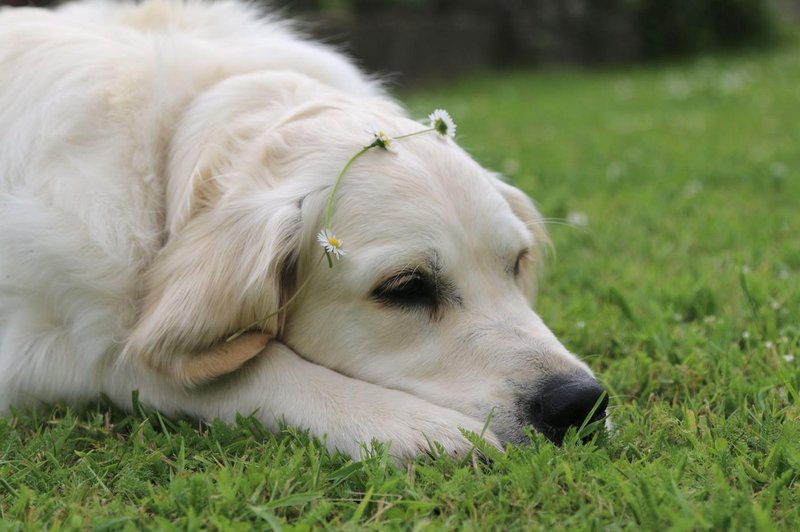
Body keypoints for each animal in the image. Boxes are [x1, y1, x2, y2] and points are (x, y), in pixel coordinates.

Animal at [0, 0, 608, 460]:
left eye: (516, 264)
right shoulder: (44, 344)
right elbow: (183, 365)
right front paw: (411, 425)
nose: (581, 404)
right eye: (406, 288)